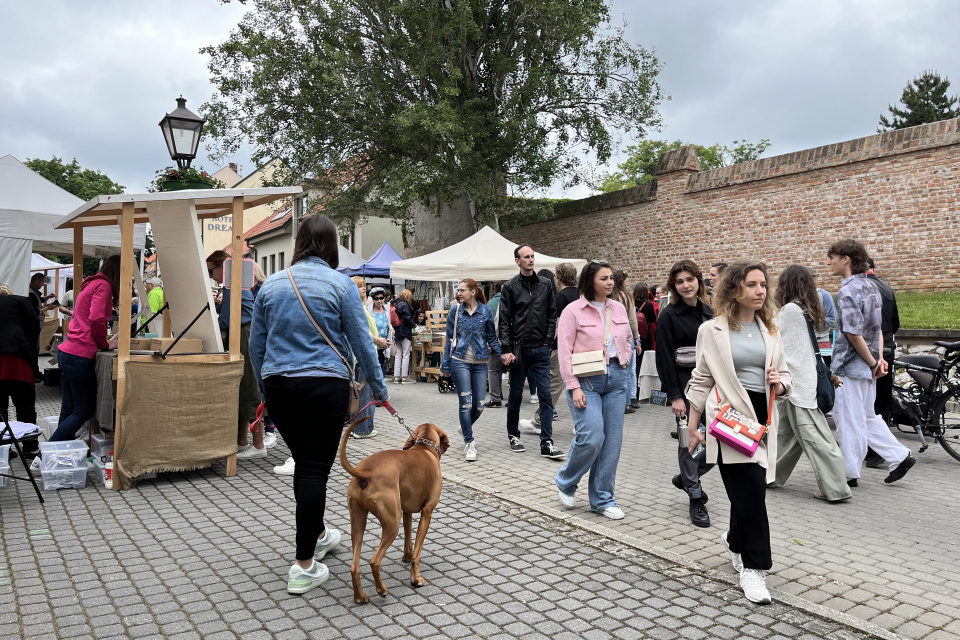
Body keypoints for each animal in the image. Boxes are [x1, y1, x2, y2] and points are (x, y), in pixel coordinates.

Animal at [340, 418, 448, 604]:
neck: (424, 447)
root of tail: (365, 471)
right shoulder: (427, 513)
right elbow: (417, 552)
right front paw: (416, 579)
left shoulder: (406, 512)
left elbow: (409, 539)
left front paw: (406, 556)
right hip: (392, 523)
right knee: (374, 561)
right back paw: (382, 590)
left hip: (358, 523)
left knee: (354, 566)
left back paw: (360, 597)